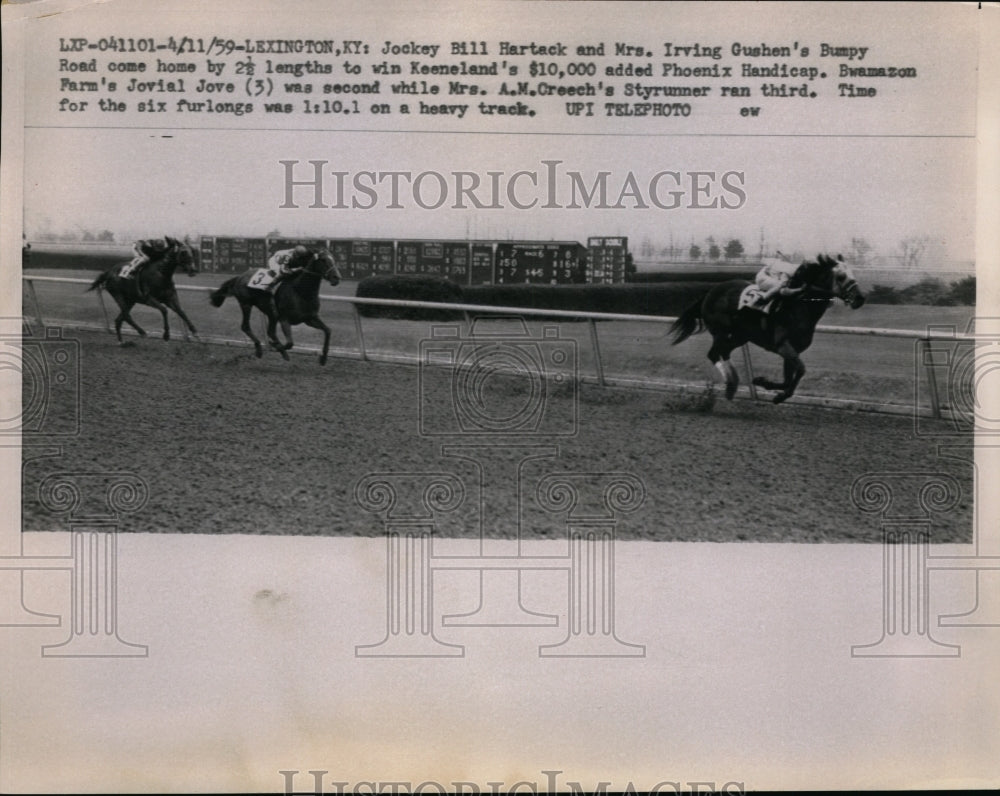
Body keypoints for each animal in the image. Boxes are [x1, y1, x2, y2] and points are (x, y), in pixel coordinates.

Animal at [206, 247, 340, 366]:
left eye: (333, 259)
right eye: (323, 260)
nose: (337, 278)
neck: (300, 291)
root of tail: (239, 276)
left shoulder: (310, 318)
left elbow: (328, 331)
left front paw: (323, 358)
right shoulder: (285, 319)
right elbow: (290, 343)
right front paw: (276, 346)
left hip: (271, 313)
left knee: (270, 331)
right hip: (247, 304)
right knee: (246, 326)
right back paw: (260, 349)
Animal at [668, 255, 864, 404]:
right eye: (841, 276)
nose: (860, 299)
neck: (800, 306)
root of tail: (710, 292)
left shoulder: (792, 350)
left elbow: (789, 378)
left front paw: (770, 387)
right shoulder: (783, 345)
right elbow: (801, 370)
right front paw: (771, 389)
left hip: (740, 336)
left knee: (724, 352)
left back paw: (733, 383)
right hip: (721, 331)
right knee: (714, 353)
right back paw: (730, 384)